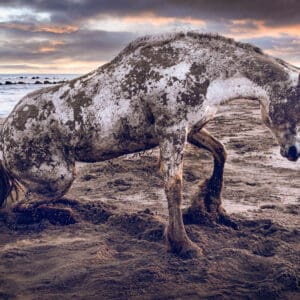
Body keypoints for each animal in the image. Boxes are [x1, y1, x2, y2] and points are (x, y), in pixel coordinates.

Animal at [0, 32, 300, 258]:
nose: (293, 153)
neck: (197, 69)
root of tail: (6, 133)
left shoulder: (191, 130)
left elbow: (220, 152)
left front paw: (212, 208)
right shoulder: (172, 131)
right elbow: (173, 185)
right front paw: (183, 244)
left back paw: (63, 214)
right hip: (59, 178)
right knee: (12, 210)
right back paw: (61, 215)